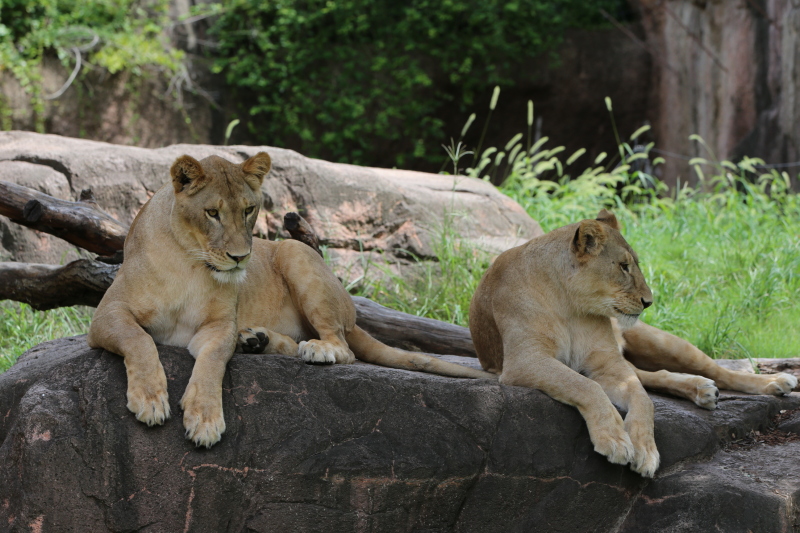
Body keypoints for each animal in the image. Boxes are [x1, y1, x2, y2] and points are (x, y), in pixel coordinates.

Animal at [86, 152, 488, 446]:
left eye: (248, 210)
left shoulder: (218, 327)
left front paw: (205, 419)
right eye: (212, 213)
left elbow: (212, 364)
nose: (240, 258)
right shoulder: (107, 313)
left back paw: (313, 349)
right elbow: (139, 340)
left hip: (296, 252)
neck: (189, 261)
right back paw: (257, 340)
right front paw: (150, 398)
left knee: (343, 347)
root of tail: (352, 312)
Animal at [472, 209, 796, 478]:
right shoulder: (524, 360)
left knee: (716, 372)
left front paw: (644, 449)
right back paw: (703, 391)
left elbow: (642, 399)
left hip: (663, 342)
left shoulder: (607, 362)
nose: (649, 301)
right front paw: (615, 439)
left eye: (635, 264)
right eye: (624, 266)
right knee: (655, 376)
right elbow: (585, 385)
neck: (569, 304)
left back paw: (775, 382)